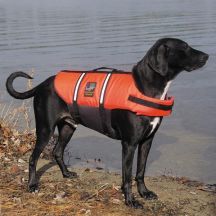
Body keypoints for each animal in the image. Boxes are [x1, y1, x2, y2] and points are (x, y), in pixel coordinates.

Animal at [6, 38, 209, 208]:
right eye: (184, 47)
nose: (207, 56)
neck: (145, 87)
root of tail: (42, 84)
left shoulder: (146, 141)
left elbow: (140, 172)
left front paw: (143, 193)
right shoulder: (129, 144)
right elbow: (128, 176)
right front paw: (130, 201)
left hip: (68, 127)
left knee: (57, 151)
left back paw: (66, 174)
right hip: (45, 129)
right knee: (33, 158)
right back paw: (32, 185)